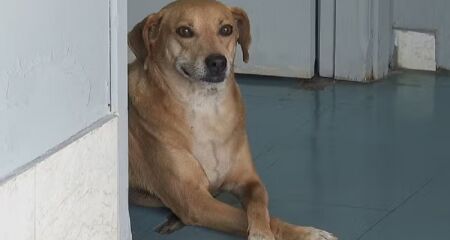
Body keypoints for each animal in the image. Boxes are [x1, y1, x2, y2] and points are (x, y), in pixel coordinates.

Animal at [128, 0, 336, 240]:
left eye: (226, 29)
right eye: (185, 31)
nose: (218, 62)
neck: (206, 108)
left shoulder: (249, 179)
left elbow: (260, 205)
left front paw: (265, 229)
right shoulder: (193, 200)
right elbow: (255, 218)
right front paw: (296, 233)